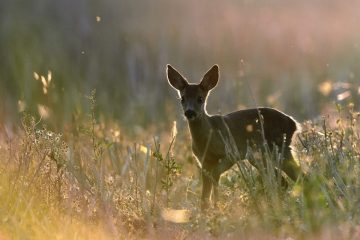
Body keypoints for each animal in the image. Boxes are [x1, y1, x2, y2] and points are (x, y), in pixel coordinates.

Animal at [167, 64, 302, 210]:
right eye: (182, 98)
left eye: (200, 98)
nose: (190, 112)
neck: (209, 133)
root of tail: (294, 124)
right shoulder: (204, 161)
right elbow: (205, 192)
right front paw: (207, 210)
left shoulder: (229, 153)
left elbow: (215, 178)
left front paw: (216, 207)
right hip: (269, 154)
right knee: (289, 178)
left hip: (266, 151)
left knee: (288, 178)